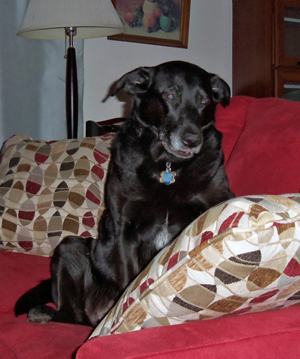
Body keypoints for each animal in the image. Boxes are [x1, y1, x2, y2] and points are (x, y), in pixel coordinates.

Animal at [14, 61, 234, 326]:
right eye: (170, 96)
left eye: (204, 101)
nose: (192, 140)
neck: (168, 167)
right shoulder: (125, 228)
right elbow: (129, 279)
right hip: (69, 248)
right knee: (70, 315)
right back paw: (44, 313)